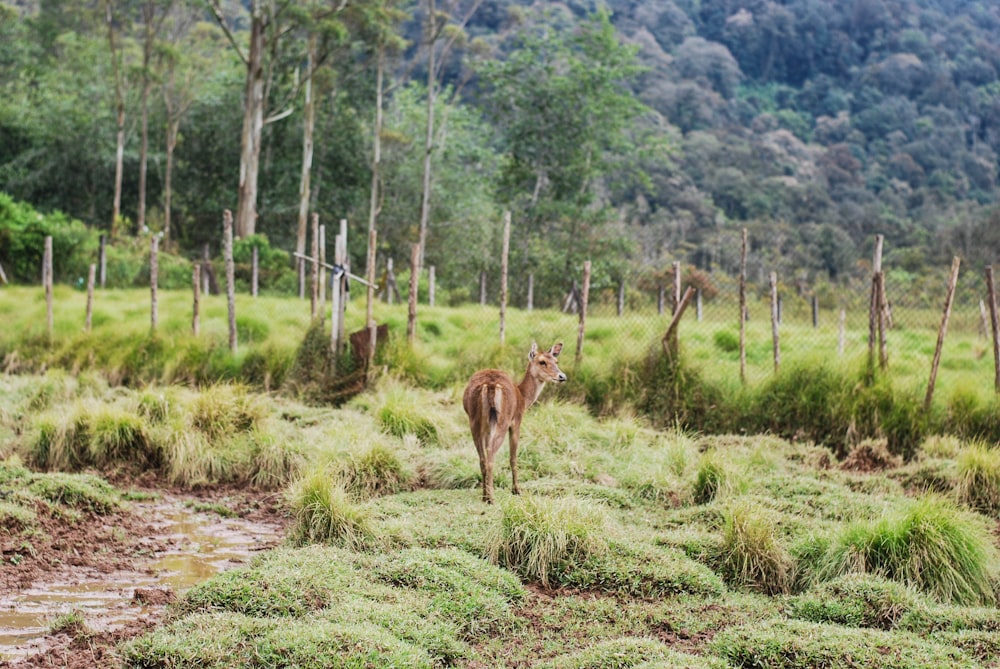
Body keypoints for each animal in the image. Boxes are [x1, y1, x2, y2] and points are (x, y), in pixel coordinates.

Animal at [464, 342, 568, 504]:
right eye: (542, 361)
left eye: (556, 361)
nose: (562, 376)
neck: (524, 398)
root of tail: (490, 386)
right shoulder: (516, 421)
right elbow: (513, 457)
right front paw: (517, 490)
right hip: (502, 421)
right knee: (491, 456)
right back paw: (491, 498)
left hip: (474, 420)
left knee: (482, 458)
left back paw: (485, 496)